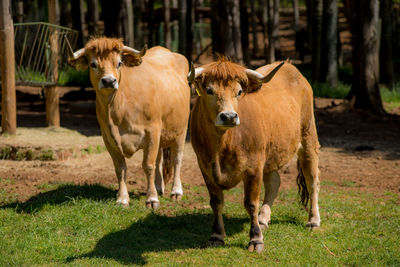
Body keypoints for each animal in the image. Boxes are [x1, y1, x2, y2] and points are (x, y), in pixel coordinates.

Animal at [68, 37, 190, 209]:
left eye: (119, 63)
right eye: (93, 64)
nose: (109, 81)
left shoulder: (152, 132)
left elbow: (148, 165)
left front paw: (152, 199)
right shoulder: (108, 138)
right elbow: (120, 168)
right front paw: (122, 198)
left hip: (181, 130)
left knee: (176, 159)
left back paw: (176, 191)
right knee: (159, 159)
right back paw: (159, 186)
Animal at [188, 58, 322, 253]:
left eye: (239, 92)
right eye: (209, 90)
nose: (229, 116)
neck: (223, 144)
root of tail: (292, 68)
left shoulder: (253, 167)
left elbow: (251, 203)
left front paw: (256, 239)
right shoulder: (205, 167)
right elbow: (216, 201)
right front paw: (216, 236)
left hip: (308, 138)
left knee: (312, 181)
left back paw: (313, 220)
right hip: (271, 153)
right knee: (274, 182)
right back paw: (263, 219)